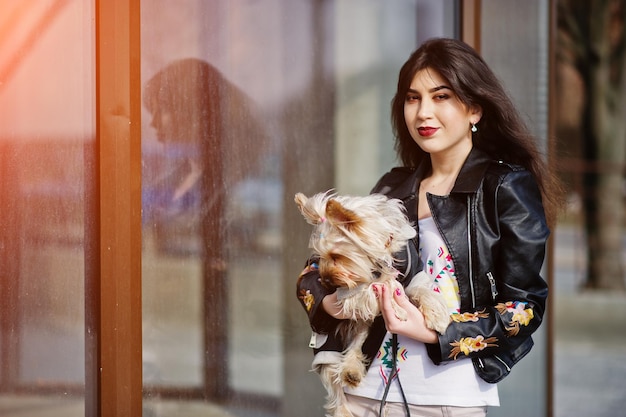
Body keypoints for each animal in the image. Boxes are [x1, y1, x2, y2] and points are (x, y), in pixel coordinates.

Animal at [294, 191, 448, 416]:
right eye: (317, 259)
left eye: (336, 256)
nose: (325, 281)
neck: (378, 262)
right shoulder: (349, 291)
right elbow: (381, 287)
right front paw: (397, 308)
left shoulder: (413, 274)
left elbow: (419, 289)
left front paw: (438, 317)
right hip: (329, 345)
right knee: (333, 380)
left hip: (361, 329)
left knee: (357, 343)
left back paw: (351, 371)